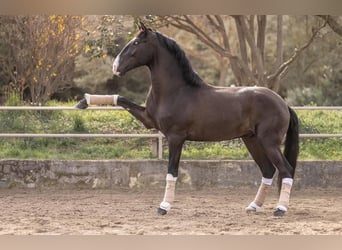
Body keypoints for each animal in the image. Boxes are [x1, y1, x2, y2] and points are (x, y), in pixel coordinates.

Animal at [76, 22, 298, 217]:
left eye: (137, 43)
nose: (115, 67)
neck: (176, 91)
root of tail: (283, 103)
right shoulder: (148, 120)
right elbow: (121, 99)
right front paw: (83, 101)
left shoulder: (175, 138)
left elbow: (171, 172)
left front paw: (163, 207)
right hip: (251, 140)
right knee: (268, 170)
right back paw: (253, 206)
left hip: (268, 142)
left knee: (285, 170)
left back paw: (280, 209)